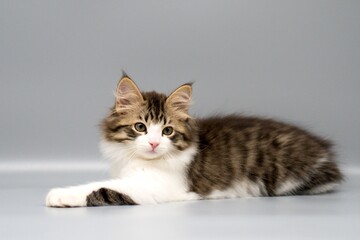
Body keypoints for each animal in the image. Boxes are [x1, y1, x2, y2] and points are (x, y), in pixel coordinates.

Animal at [45, 74, 344, 207]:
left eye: (167, 131)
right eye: (141, 127)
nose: (154, 144)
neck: (140, 162)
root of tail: (323, 150)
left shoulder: (158, 187)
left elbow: (100, 188)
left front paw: (59, 194)